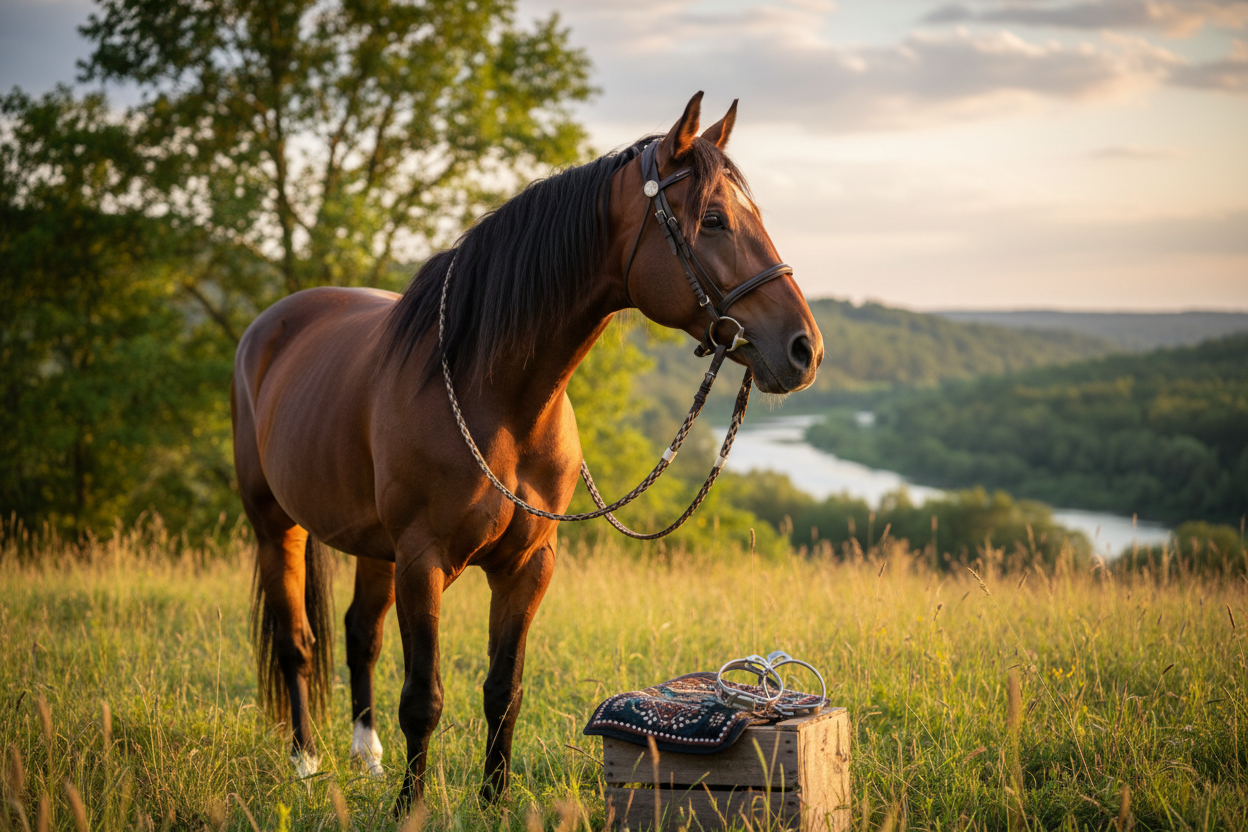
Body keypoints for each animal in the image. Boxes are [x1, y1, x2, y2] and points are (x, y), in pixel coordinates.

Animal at [230, 91, 825, 809]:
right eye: (712, 219)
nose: (805, 348)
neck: (496, 397)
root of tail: (271, 325)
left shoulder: (528, 566)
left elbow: (503, 690)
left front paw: (492, 800)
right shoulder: (421, 562)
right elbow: (422, 699)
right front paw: (411, 807)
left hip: (374, 548)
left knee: (358, 635)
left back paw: (365, 760)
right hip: (276, 525)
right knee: (295, 641)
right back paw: (306, 763)